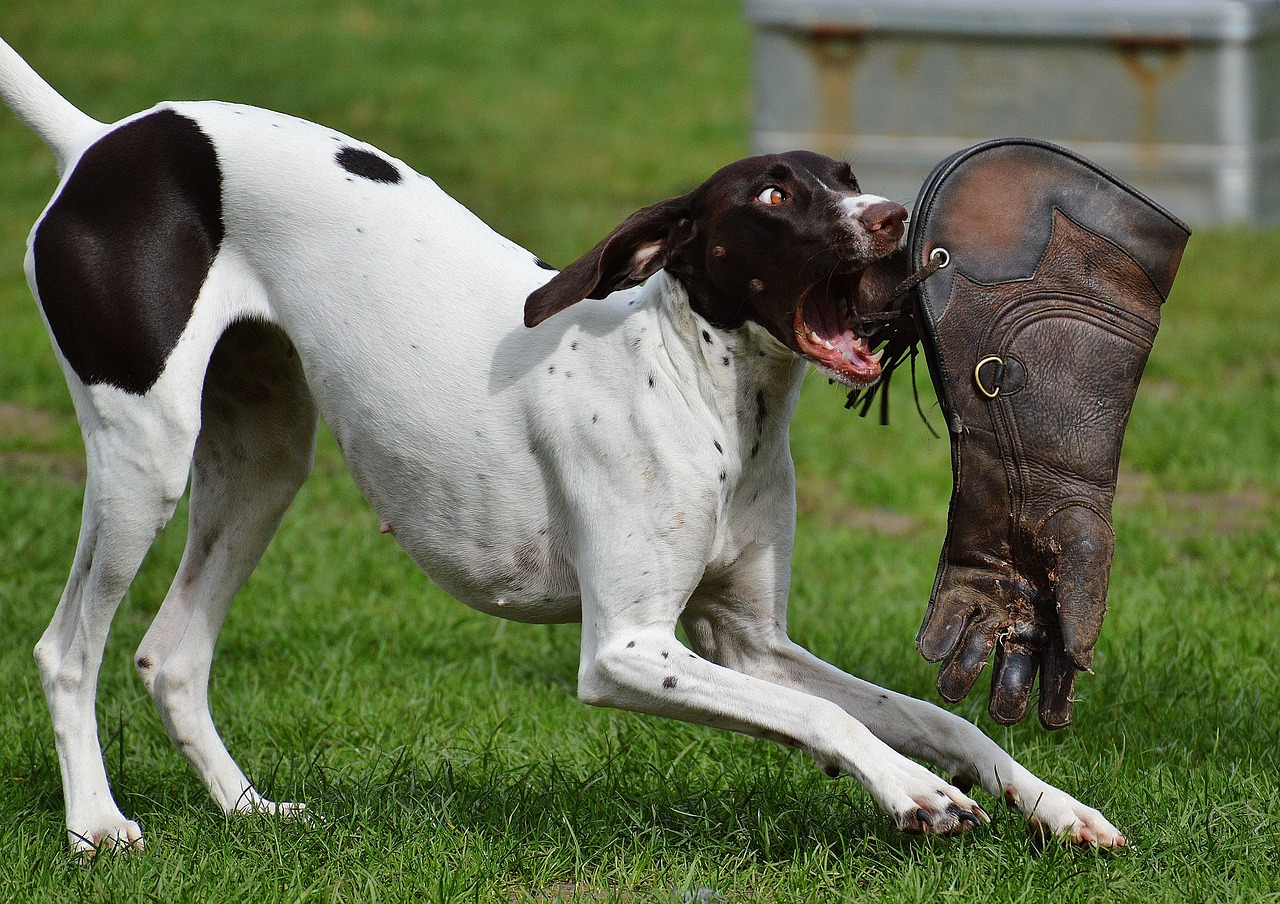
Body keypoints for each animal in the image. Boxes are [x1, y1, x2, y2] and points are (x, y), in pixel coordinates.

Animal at [0, 36, 1121, 850]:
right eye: (771, 195)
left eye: (842, 174)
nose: (893, 217)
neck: (703, 394)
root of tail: (98, 141)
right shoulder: (627, 649)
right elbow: (836, 721)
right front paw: (911, 792)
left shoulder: (747, 641)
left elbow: (937, 715)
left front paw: (1052, 804)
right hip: (144, 459)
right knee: (69, 647)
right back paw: (96, 824)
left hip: (262, 466)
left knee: (170, 654)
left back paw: (247, 810)